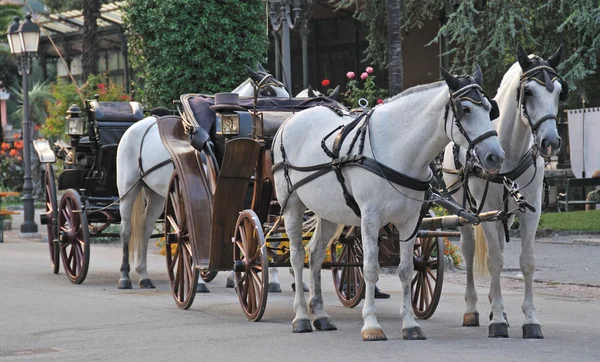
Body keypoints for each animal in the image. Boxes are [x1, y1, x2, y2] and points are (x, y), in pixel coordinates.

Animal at [116, 66, 290, 292]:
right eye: (268, 92)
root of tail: (136, 127)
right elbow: (197, 233)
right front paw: (200, 281)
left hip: (156, 194)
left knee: (145, 228)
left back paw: (144, 275)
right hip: (129, 187)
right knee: (126, 230)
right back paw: (125, 276)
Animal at [274, 65, 504, 340]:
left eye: (489, 109)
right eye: (466, 109)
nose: (495, 156)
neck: (397, 149)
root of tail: (289, 122)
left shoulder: (410, 222)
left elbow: (406, 270)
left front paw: (410, 325)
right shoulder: (370, 218)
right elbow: (371, 269)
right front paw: (371, 325)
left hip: (328, 212)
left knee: (316, 254)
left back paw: (320, 315)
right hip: (292, 206)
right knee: (298, 257)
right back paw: (300, 317)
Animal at [440, 45, 568, 340]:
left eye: (558, 91)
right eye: (528, 91)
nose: (550, 141)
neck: (508, 152)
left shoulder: (531, 209)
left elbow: (527, 261)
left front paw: (529, 320)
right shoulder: (484, 210)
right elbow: (496, 261)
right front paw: (497, 320)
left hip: (503, 214)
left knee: (498, 239)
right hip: (463, 210)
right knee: (469, 250)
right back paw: (473, 310)